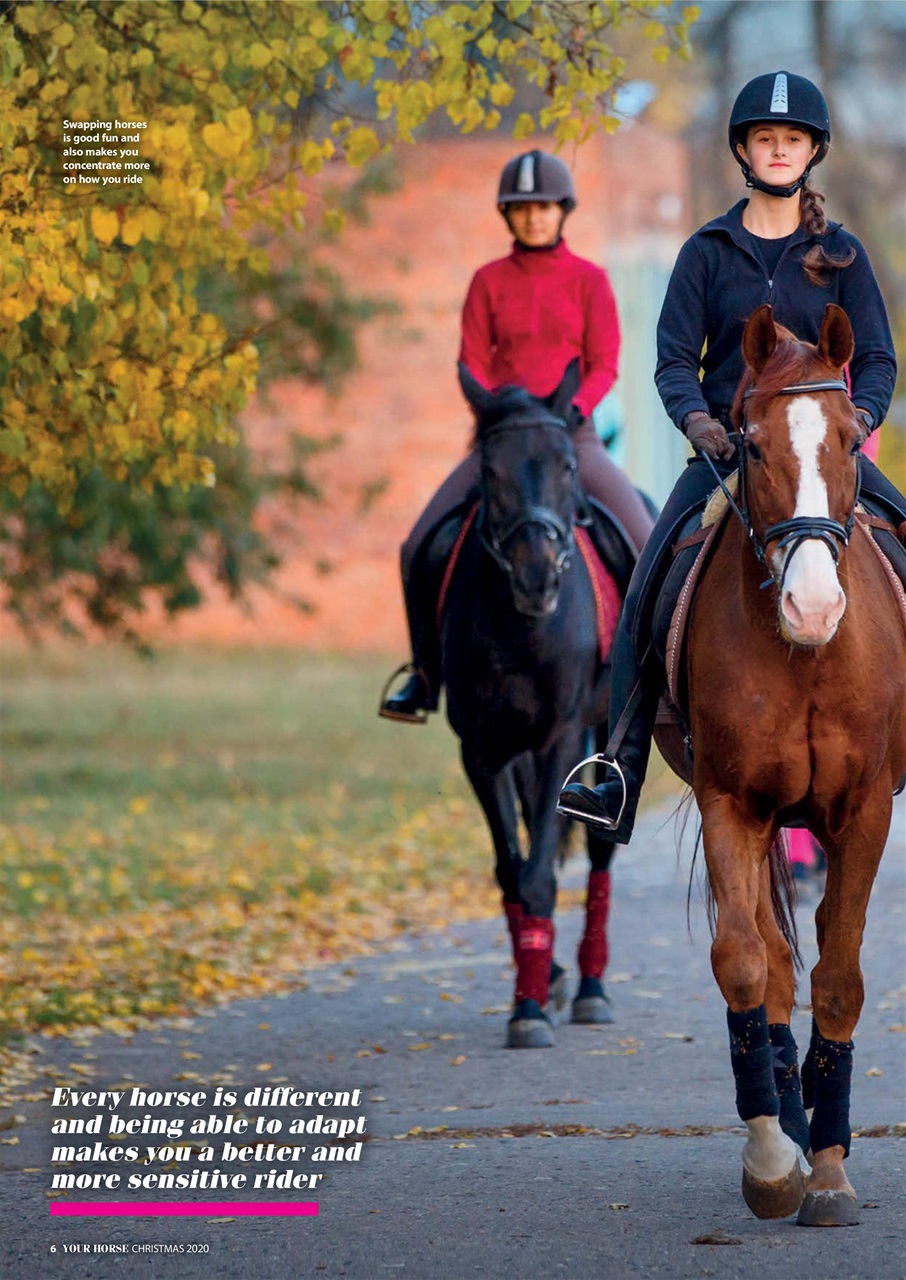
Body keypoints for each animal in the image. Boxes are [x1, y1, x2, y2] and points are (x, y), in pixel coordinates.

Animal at [442, 363, 624, 1048]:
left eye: (568, 465)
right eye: (489, 470)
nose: (537, 578)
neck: (518, 628)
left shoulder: (561, 740)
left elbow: (542, 873)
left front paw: (531, 1007)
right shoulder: (481, 750)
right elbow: (512, 870)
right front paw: (532, 989)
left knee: (600, 850)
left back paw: (592, 986)